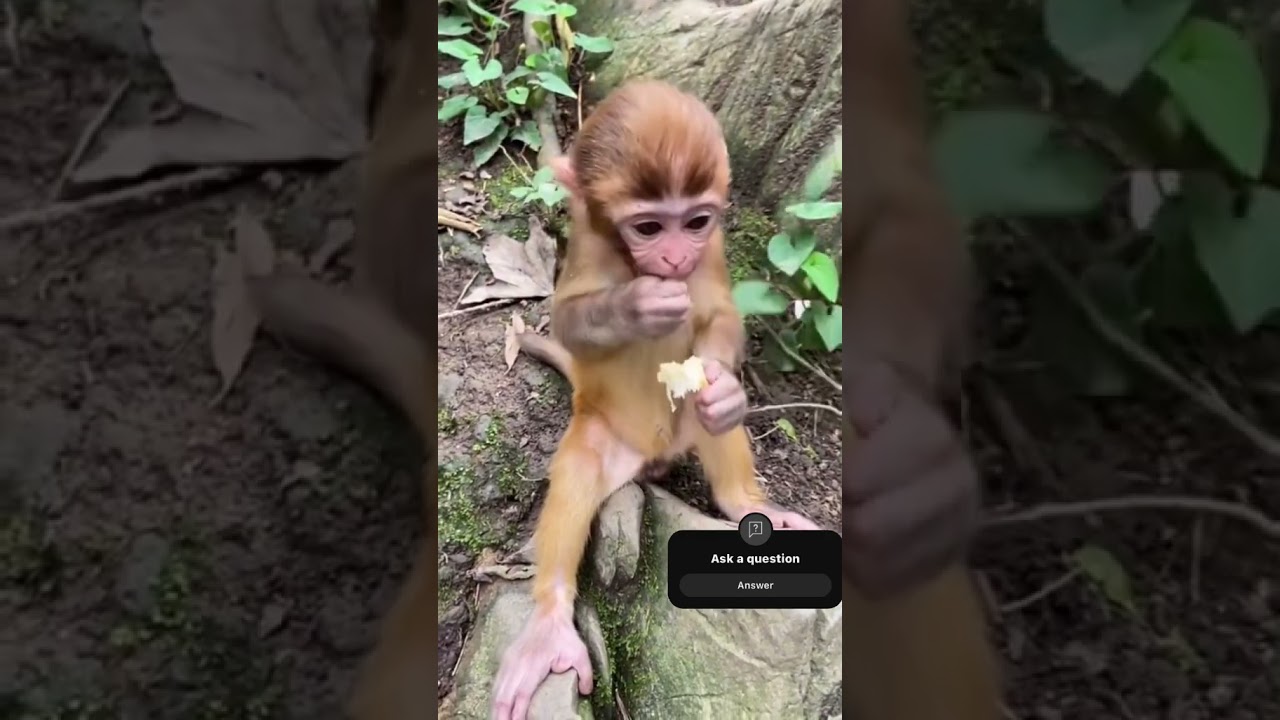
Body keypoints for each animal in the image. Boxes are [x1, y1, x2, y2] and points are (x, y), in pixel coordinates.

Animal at [489, 79, 820, 720]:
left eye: (694, 221)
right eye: (647, 229)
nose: (673, 259)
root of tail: (653, 459)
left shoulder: (712, 247)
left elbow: (718, 316)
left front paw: (721, 384)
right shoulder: (587, 245)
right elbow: (570, 320)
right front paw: (636, 305)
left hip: (684, 433)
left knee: (709, 419)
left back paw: (748, 503)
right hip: (611, 441)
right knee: (581, 466)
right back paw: (549, 626)